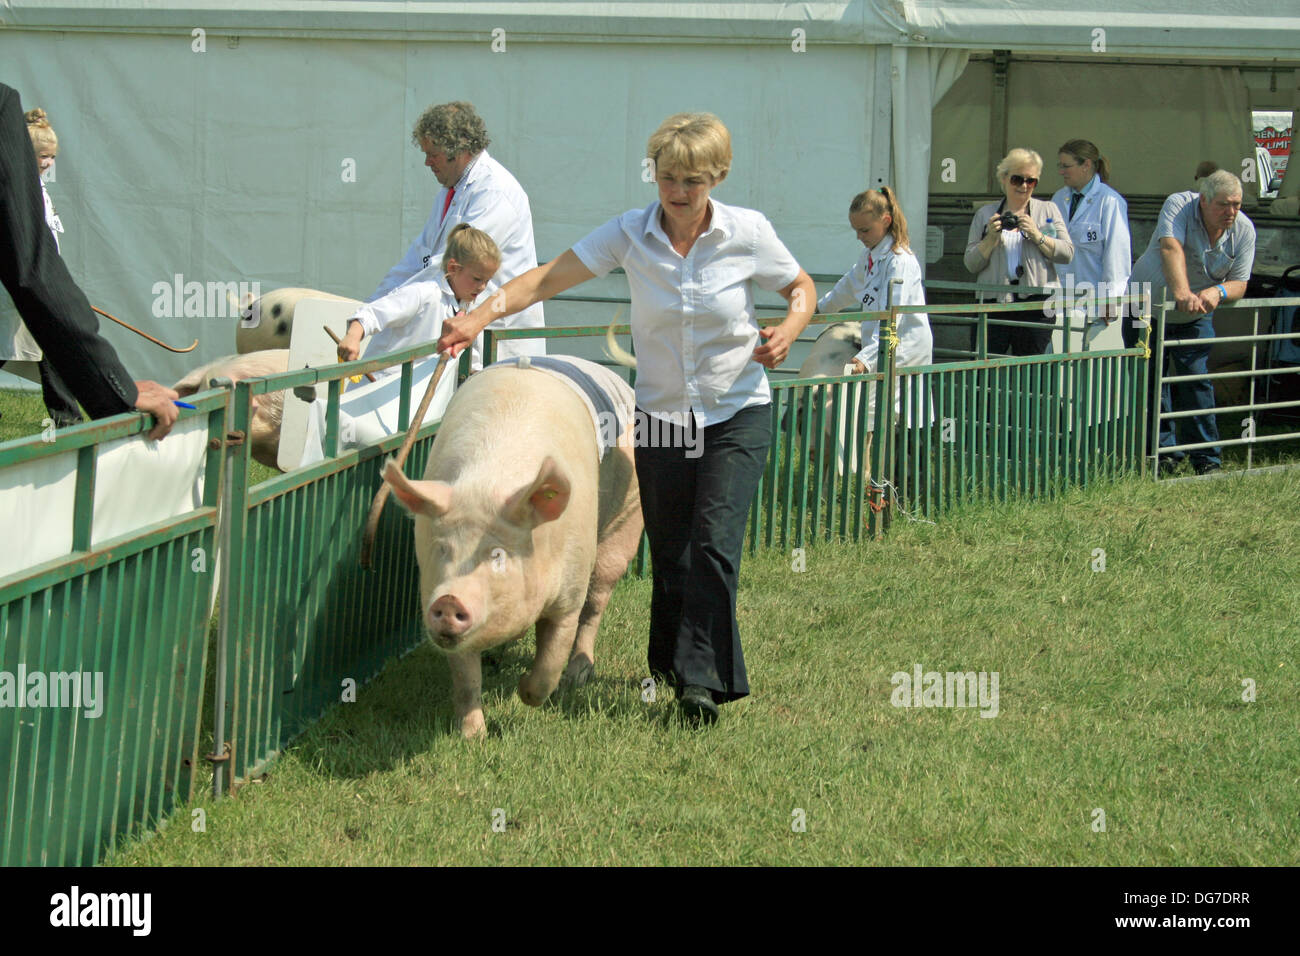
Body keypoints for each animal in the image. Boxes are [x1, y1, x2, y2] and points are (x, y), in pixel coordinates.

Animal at [379, 356, 644, 738]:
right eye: (442, 548)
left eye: (498, 555)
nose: (448, 601)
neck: (491, 479)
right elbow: (465, 678)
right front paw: (472, 737)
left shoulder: (569, 590)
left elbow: (552, 655)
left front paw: (525, 692)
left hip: (626, 518)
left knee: (596, 602)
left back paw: (578, 675)